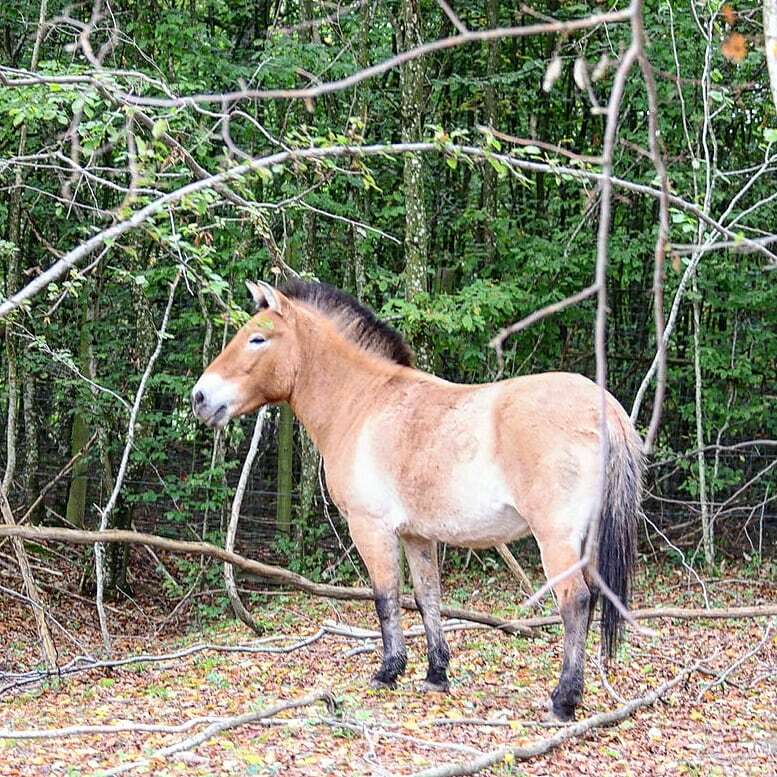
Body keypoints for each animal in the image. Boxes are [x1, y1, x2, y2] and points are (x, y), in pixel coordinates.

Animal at [191, 279, 642, 721]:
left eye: (257, 338)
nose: (200, 398)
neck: (363, 404)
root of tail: (605, 408)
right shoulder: (417, 535)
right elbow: (428, 598)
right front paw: (436, 674)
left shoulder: (371, 528)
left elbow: (385, 597)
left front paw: (388, 671)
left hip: (556, 538)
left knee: (575, 602)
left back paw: (564, 700)